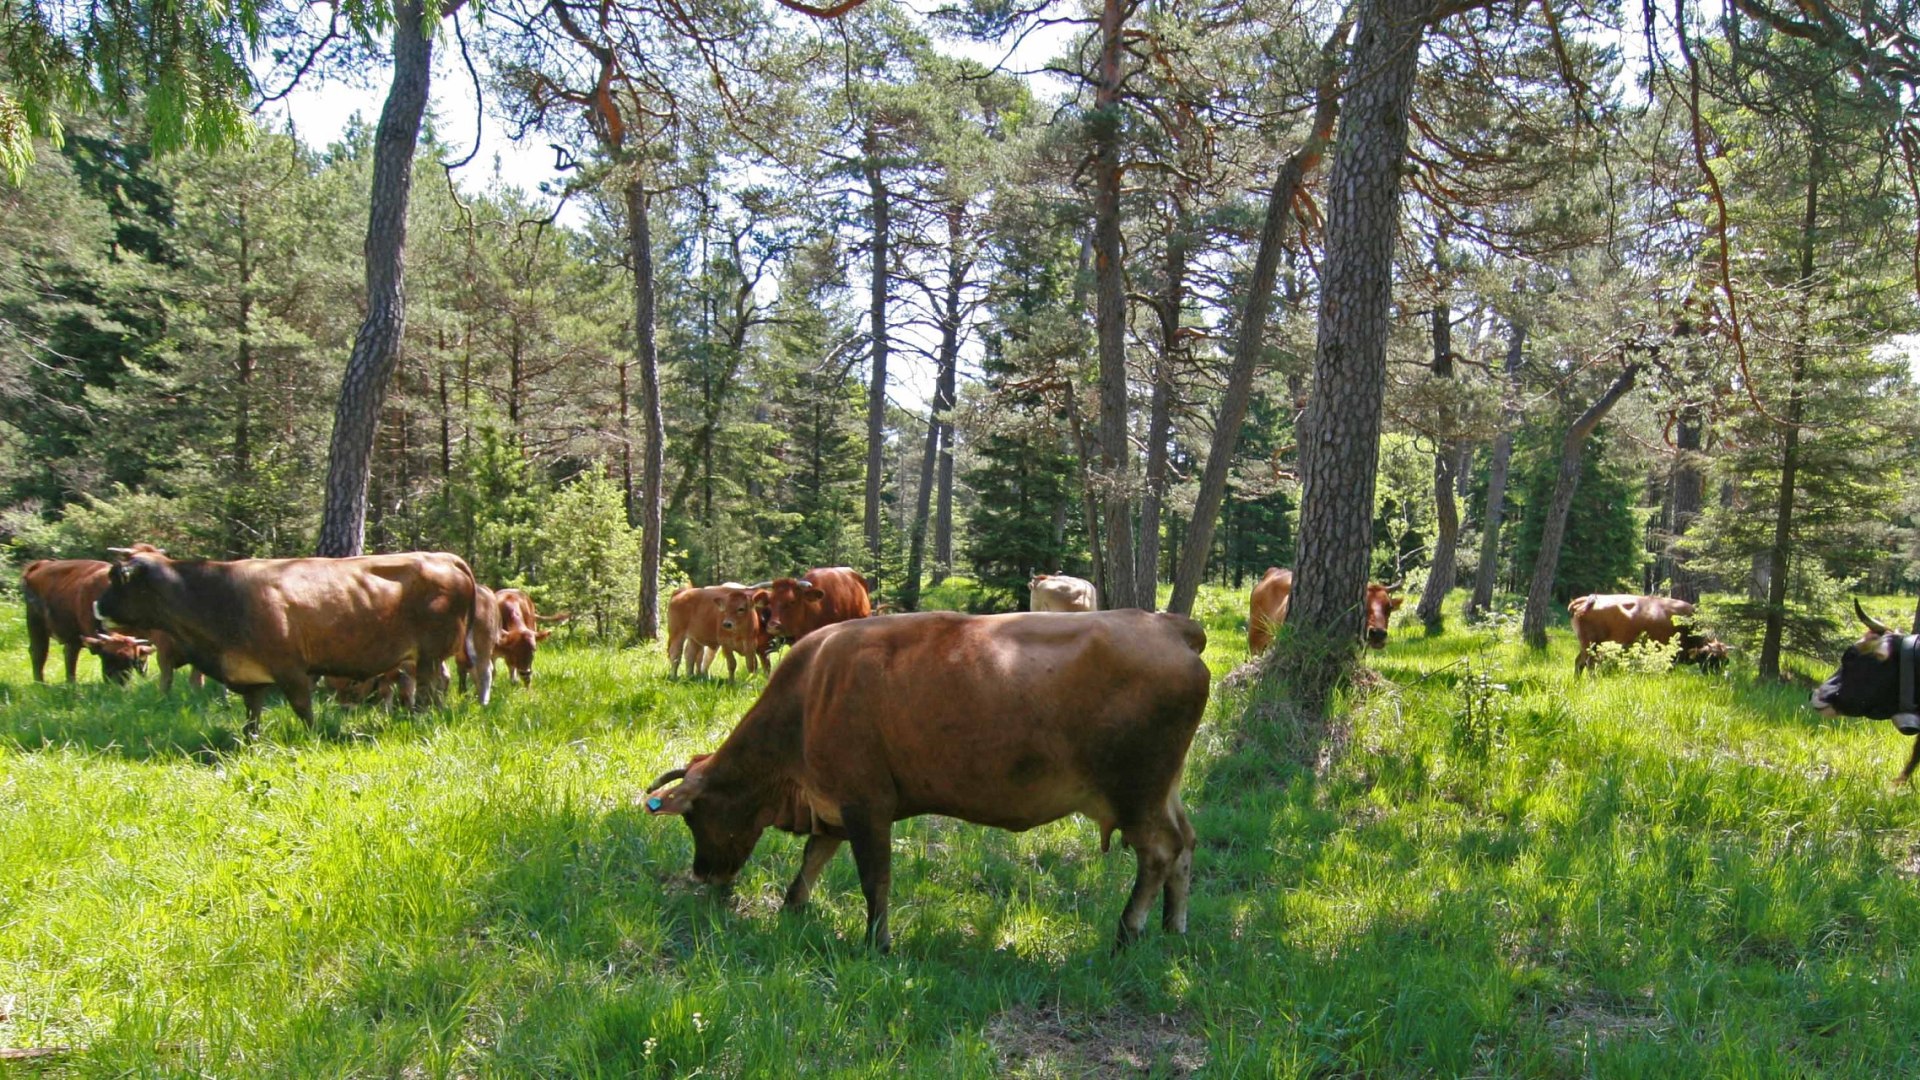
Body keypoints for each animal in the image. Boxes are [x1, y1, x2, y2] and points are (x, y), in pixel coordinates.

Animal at [96, 545, 487, 730]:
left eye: (116, 578)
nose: (97, 605)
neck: (220, 595)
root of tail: (443, 557)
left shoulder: (291, 669)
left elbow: (303, 709)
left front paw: (313, 737)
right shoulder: (250, 675)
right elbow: (251, 715)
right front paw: (250, 743)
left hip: (430, 652)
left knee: (429, 687)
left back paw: (422, 719)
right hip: (426, 656)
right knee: (438, 684)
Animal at [645, 607, 1213, 949]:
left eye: (694, 816)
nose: (702, 873)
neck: (806, 701)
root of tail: (1168, 626)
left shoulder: (866, 803)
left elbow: (874, 877)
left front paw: (877, 943)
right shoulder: (833, 806)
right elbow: (812, 859)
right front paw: (792, 908)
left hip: (1136, 793)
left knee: (1159, 853)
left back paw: (1127, 932)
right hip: (1165, 791)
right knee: (1185, 844)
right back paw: (1174, 929)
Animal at [1566, 588, 1735, 672]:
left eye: (1725, 660)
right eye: (1713, 658)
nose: (1717, 676)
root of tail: (1584, 600)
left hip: (1587, 646)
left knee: (1579, 663)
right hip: (1592, 645)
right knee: (1588, 664)